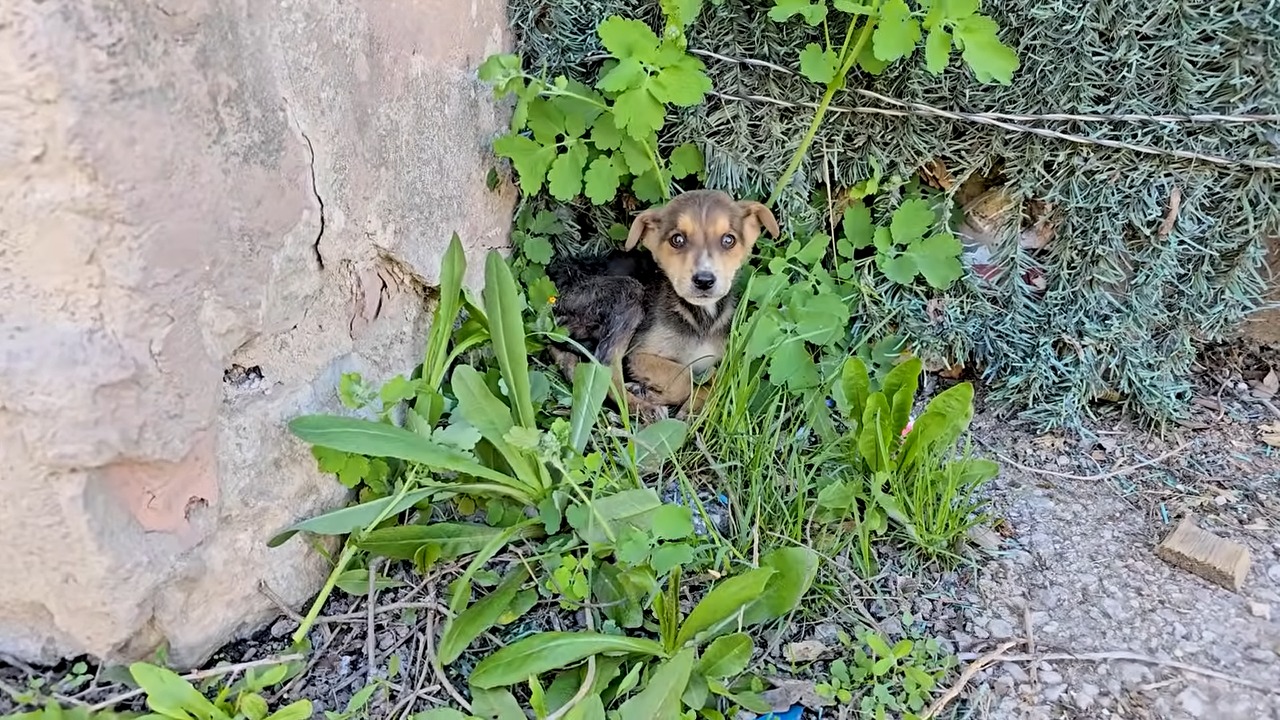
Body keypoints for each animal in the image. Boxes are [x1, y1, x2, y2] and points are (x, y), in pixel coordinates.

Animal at [547, 188, 778, 417]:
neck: (698, 317)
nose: (704, 280)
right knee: (608, 372)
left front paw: (691, 407)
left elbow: (712, 382)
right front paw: (651, 395)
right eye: (677, 239)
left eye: (728, 240)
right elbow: (684, 376)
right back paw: (644, 408)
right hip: (625, 293)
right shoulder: (638, 354)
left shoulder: (717, 363)